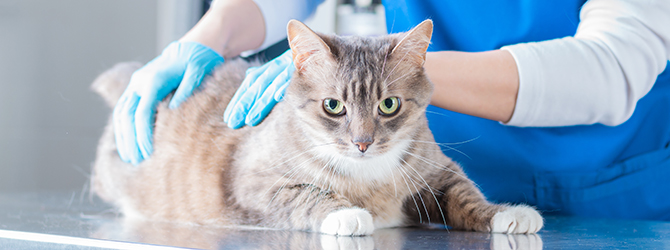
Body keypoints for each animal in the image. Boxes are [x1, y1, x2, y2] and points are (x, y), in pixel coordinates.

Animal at [90, 20, 544, 236]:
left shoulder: (435, 170)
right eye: (333, 106)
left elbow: (465, 193)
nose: (362, 143)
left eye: (389, 104)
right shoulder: (253, 183)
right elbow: (306, 194)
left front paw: (506, 214)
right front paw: (347, 214)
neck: (368, 177)